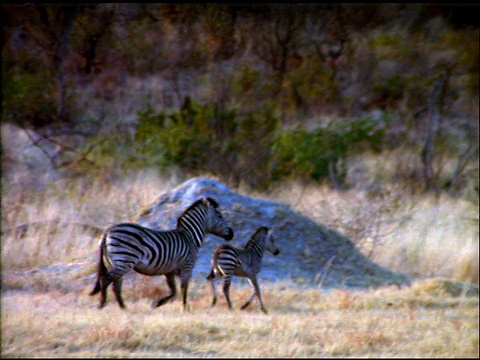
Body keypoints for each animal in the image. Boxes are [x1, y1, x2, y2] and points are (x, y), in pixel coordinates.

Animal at [90, 195, 234, 310]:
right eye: (219, 216)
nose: (232, 234)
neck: (190, 237)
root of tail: (108, 230)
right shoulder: (187, 267)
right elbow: (184, 289)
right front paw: (185, 308)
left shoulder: (169, 272)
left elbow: (174, 292)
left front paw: (158, 303)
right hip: (125, 260)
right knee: (106, 279)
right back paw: (102, 305)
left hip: (115, 262)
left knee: (116, 285)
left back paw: (123, 307)